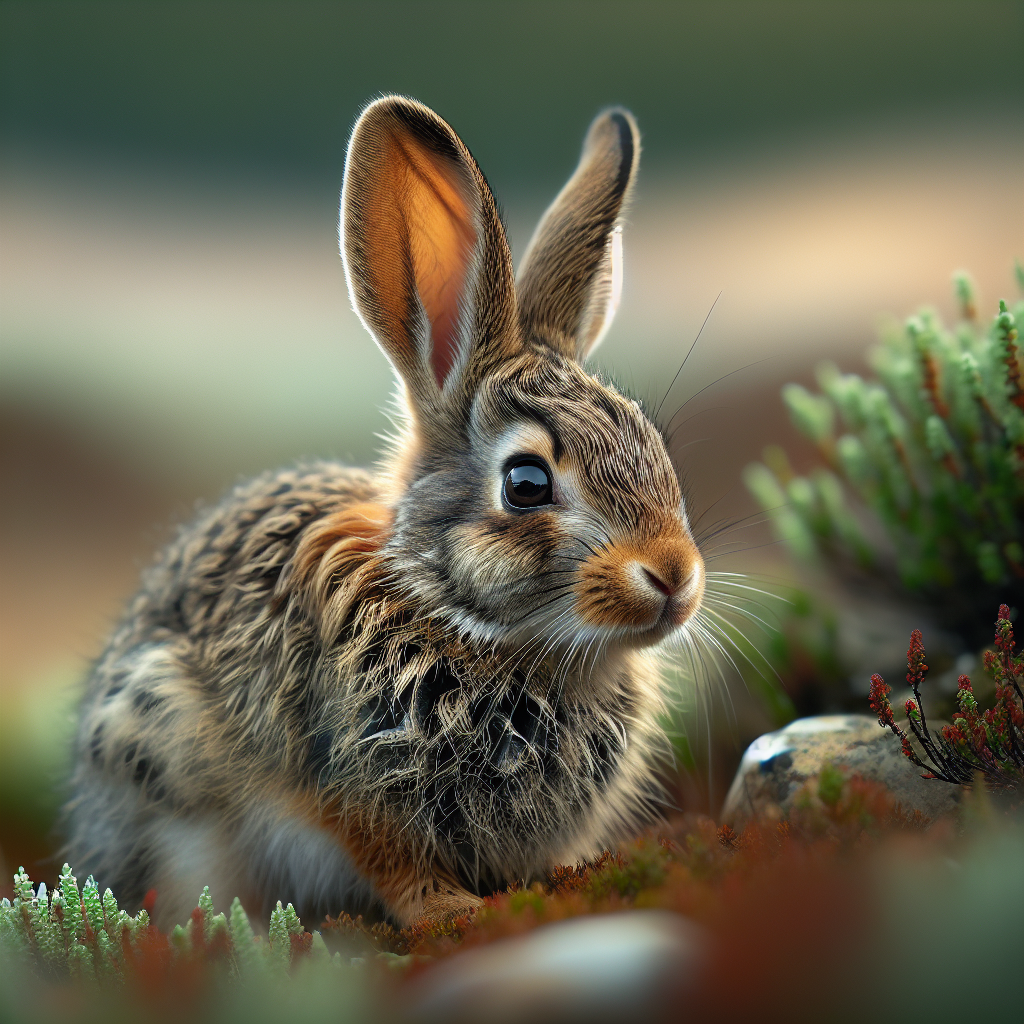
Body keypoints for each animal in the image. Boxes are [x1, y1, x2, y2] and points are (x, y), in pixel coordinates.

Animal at [63, 95, 706, 931]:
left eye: (654, 447)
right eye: (527, 483)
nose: (675, 577)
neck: (455, 617)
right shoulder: (338, 786)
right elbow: (389, 859)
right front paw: (450, 911)